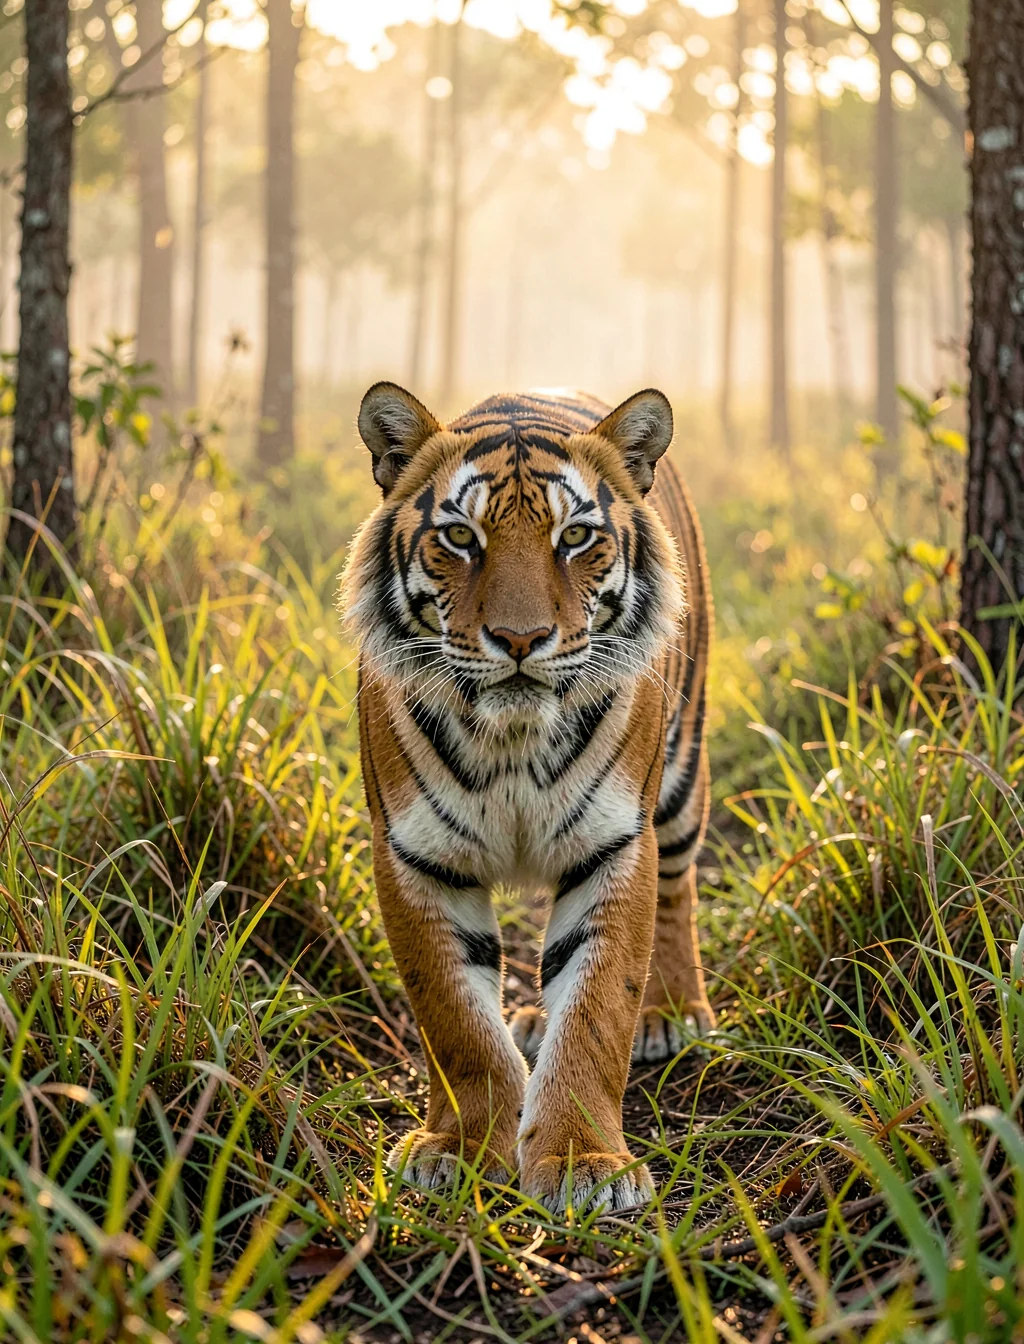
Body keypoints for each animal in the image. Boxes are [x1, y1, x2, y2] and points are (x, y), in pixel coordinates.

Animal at [342, 380, 715, 1215]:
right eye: (460, 537)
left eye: (575, 538)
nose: (520, 640)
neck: (511, 742)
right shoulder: (415, 855)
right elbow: (455, 1019)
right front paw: (459, 1148)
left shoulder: (616, 845)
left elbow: (599, 1008)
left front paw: (584, 1162)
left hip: (679, 776)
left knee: (680, 888)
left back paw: (673, 1013)